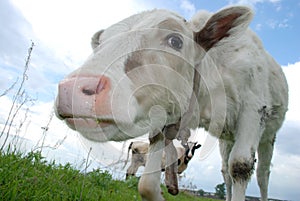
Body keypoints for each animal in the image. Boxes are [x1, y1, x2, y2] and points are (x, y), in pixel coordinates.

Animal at [55, 6, 288, 201]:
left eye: (175, 41)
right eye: (101, 43)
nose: (72, 89)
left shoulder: (253, 110)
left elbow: (240, 166)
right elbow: (147, 184)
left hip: (268, 136)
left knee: (261, 175)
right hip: (226, 138)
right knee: (225, 172)